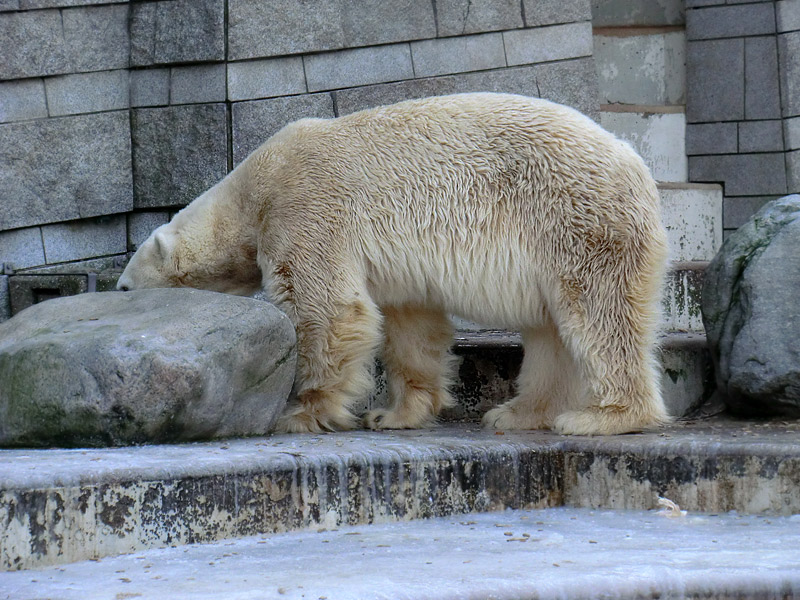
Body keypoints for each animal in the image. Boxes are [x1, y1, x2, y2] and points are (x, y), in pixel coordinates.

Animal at [117, 91, 668, 434]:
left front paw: (301, 411)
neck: (252, 189)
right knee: (550, 331)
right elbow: (410, 326)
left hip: (575, 220)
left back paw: (602, 417)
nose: (117, 290)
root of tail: (636, 163)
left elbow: (328, 310)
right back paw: (516, 413)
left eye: (123, 286)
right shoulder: (399, 271)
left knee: (598, 313)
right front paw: (395, 414)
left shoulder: (306, 206)